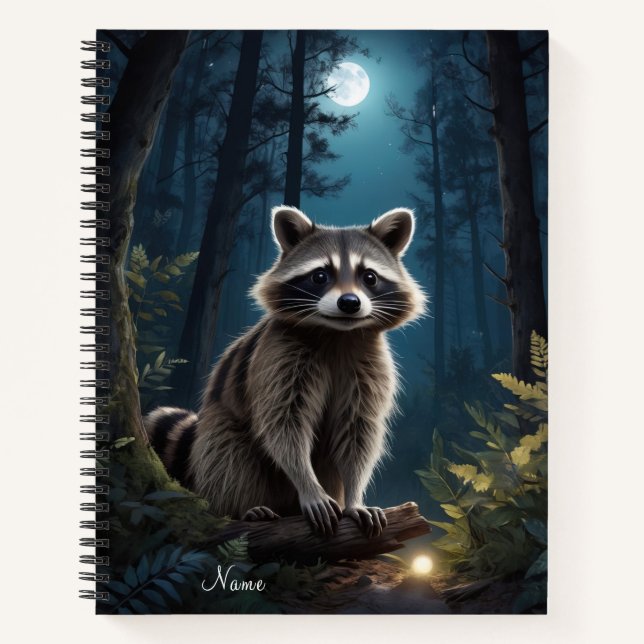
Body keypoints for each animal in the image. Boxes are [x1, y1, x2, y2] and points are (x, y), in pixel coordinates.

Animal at [145, 206, 426, 538]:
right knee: (227, 453)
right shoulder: (278, 355)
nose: (349, 303)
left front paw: (355, 496)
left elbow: (358, 431)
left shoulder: (370, 364)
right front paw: (308, 485)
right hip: (219, 428)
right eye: (320, 275)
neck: (337, 333)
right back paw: (241, 508)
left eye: (369, 277)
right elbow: (284, 425)